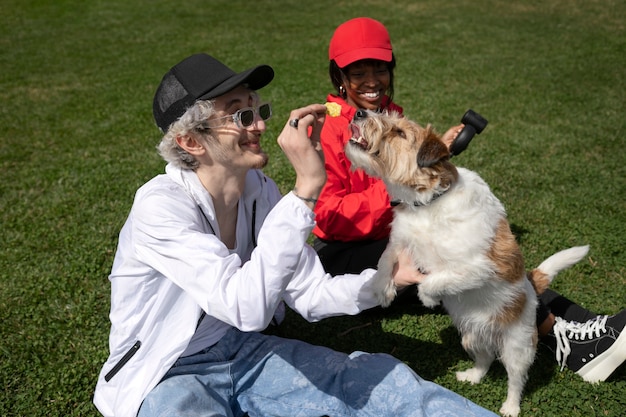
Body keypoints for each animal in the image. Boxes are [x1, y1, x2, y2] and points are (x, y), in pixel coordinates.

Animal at [344, 109, 588, 416]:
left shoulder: (478, 268)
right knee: (485, 360)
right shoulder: (399, 240)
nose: (359, 112)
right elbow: (385, 259)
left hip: (517, 347)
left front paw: (428, 297)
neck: (427, 203)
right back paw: (471, 376)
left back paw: (510, 406)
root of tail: (533, 286)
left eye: (400, 133)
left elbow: (436, 279)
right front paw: (381, 290)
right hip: (470, 337)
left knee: (516, 379)